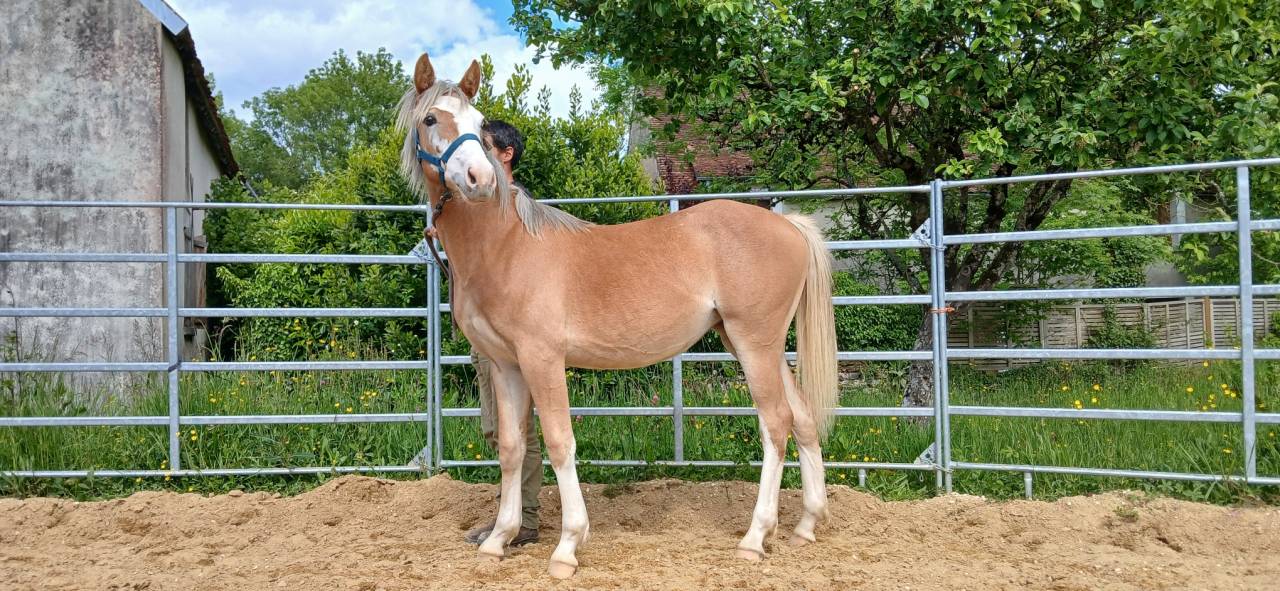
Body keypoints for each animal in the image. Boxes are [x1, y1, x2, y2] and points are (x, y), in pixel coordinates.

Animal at [397, 52, 838, 579]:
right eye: (430, 119)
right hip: (753, 345)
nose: (479, 181)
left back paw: (755, 538)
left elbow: (559, 442)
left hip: (755, 344)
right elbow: (512, 448)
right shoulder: (506, 366)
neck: (505, 246)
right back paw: (805, 527)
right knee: (803, 419)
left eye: (480, 123)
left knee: (775, 424)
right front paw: (499, 539)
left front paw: (567, 547)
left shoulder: (543, 360)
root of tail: (787, 226)